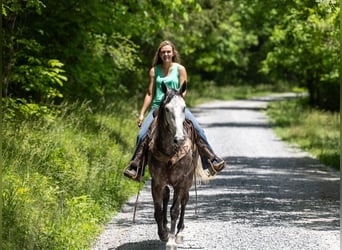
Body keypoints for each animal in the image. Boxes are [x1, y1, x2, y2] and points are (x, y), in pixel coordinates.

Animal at [146, 82, 206, 250]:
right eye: (167, 109)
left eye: (184, 108)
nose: (179, 138)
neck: (170, 152)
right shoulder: (157, 182)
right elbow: (158, 210)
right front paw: (163, 233)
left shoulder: (181, 182)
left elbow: (175, 210)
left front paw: (172, 240)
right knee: (166, 197)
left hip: (188, 182)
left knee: (184, 202)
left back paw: (179, 233)